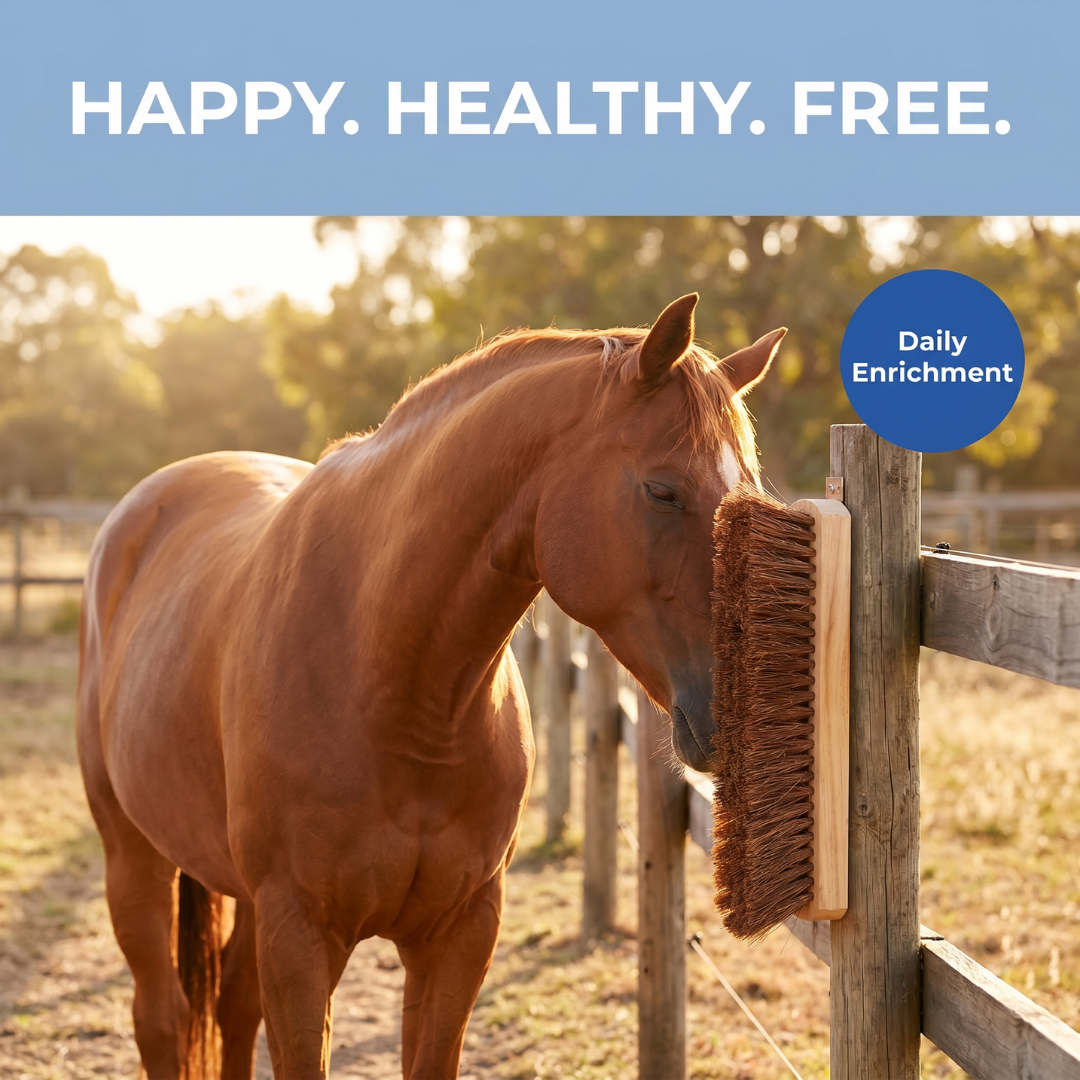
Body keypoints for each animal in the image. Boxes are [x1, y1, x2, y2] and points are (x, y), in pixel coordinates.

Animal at [76, 292, 784, 1079]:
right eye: (663, 491)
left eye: (748, 494)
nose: (747, 709)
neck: (397, 691)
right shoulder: (300, 938)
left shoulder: (460, 933)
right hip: (134, 859)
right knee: (161, 1018)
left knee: (232, 1009)